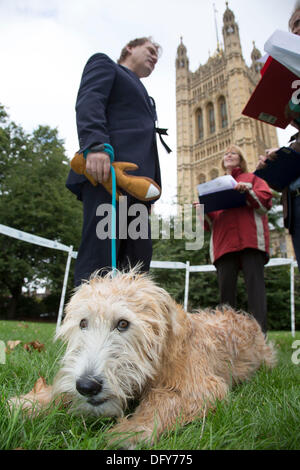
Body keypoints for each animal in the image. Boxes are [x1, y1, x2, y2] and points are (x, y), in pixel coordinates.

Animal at [9, 270, 276, 446]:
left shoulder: (199, 386)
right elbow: (58, 392)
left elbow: (167, 400)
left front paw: (132, 430)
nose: (87, 386)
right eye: (83, 323)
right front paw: (31, 404)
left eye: (123, 324)